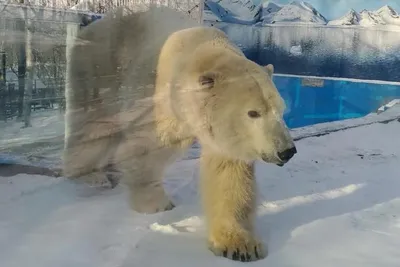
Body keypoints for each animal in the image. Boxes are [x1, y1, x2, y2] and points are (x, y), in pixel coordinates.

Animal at [64, 5, 296, 262]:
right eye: (253, 113)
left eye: (280, 110)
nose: (287, 151)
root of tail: (89, 28)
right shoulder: (162, 100)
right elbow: (148, 147)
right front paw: (155, 204)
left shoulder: (224, 136)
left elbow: (228, 172)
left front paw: (239, 245)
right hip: (99, 68)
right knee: (95, 125)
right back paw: (89, 175)